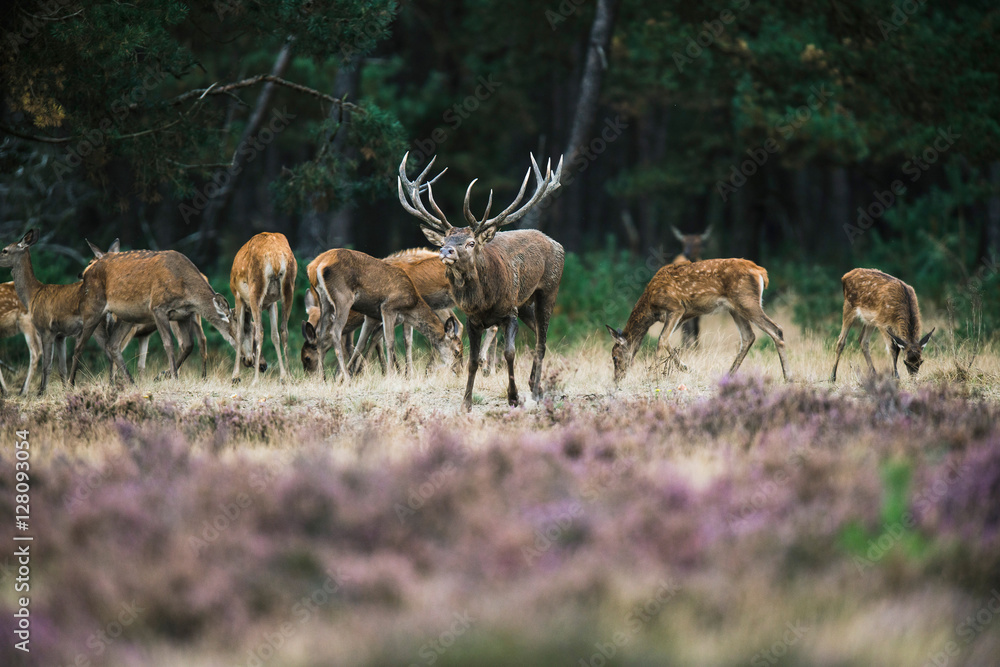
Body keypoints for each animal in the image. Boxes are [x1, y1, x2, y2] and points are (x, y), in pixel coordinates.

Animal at [69, 244, 244, 386]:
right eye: (237, 334)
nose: (247, 359)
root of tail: (88, 271)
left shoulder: (184, 315)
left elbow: (188, 345)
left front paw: (162, 375)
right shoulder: (158, 308)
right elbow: (169, 343)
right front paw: (173, 378)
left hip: (128, 316)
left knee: (112, 345)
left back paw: (131, 382)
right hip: (93, 306)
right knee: (79, 346)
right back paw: (71, 384)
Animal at [230, 232, 297, 385]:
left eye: (229, 332)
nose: (247, 361)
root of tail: (275, 258)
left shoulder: (238, 297)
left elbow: (240, 334)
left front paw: (235, 377)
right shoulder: (272, 303)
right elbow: (275, 335)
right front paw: (283, 376)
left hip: (256, 288)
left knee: (260, 331)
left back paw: (255, 380)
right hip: (289, 287)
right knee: (284, 330)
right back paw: (289, 376)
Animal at [302, 248, 462, 381]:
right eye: (457, 351)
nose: (458, 371)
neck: (411, 303)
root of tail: (317, 265)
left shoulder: (371, 316)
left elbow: (361, 344)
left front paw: (348, 374)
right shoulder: (387, 308)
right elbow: (390, 341)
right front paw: (391, 375)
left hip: (324, 301)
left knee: (323, 335)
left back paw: (324, 378)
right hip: (343, 298)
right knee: (335, 332)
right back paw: (345, 378)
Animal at [398, 151, 565, 410]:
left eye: (471, 242)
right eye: (444, 240)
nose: (445, 251)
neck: (485, 301)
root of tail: (557, 243)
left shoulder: (510, 312)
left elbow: (509, 353)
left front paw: (513, 397)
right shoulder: (472, 319)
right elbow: (473, 360)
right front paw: (466, 403)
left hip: (549, 289)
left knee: (541, 341)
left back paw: (536, 392)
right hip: (525, 303)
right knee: (538, 333)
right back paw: (532, 384)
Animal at [605, 258, 791, 384]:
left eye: (614, 357)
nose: (616, 379)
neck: (651, 306)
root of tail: (761, 272)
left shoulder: (676, 308)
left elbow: (661, 339)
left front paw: (654, 375)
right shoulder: (680, 316)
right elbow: (666, 341)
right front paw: (685, 369)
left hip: (746, 301)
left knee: (777, 330)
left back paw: (788, 377)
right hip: (735, 308)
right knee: (748, 337)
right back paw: (728, 375)